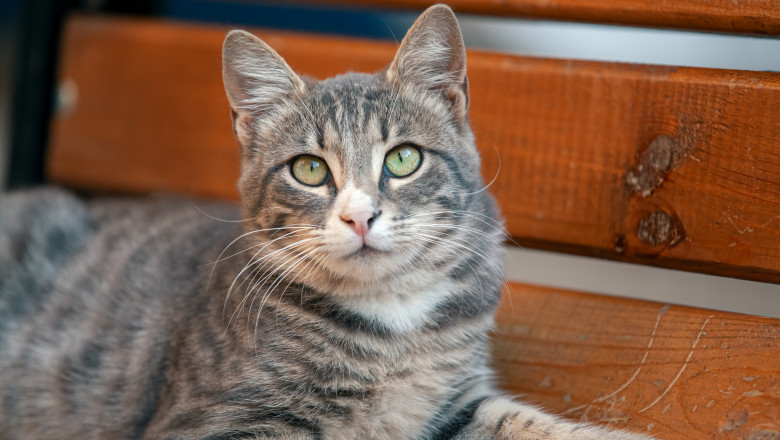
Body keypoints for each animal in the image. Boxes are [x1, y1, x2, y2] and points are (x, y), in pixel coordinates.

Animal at [0, 4, 656, 440]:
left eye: (403, 158)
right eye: (310, 169)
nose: (360, 215)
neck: (393, 329)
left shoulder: (452, 402)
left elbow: (520, 419)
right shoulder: (219, 420)